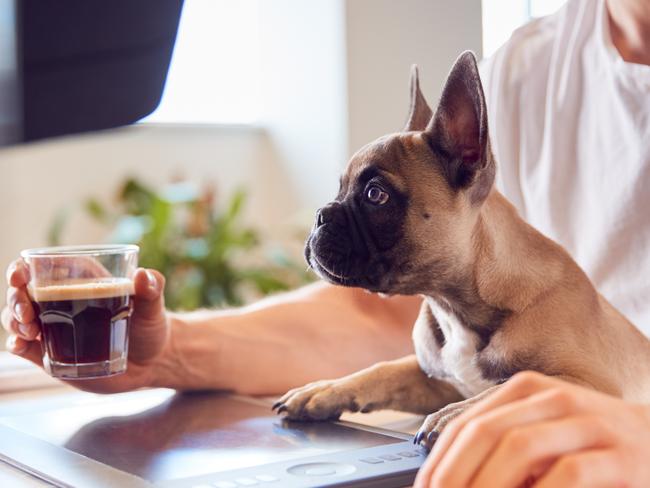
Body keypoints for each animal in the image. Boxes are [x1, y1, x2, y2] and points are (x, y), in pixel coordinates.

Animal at [270, 51, 648, 448]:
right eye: (340, 188)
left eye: (376, 195)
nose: (321, 215)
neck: (454, 304)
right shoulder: (438, 380)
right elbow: (385, 369)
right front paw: (326, 389)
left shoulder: (591, 384)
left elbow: (509, 388)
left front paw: (455, 415)